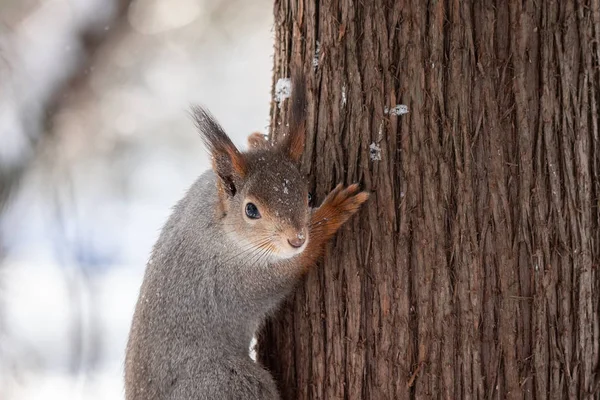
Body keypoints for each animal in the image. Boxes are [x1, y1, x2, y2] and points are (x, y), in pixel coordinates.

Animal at [123, 76, 368, 400]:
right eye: (251, 210)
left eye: (307, 195)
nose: (296, 239)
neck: (221, 226)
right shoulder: (244, 275)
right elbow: (293, 265)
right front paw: (334, 212)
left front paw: (258, 139)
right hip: (229, 384)